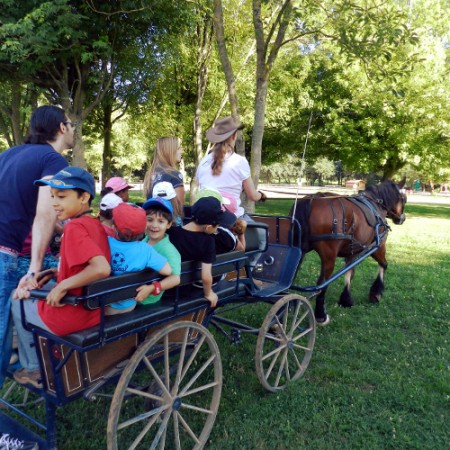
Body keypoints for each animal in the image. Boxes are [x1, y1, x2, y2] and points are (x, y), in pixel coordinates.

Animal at [290, 181, 406, 326]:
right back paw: (320, 315)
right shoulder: (378, 246)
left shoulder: (352, 251)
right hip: (329, 257)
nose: (402, 218)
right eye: (403, 198)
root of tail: (311, 200)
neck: (376, 204)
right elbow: (383, 265)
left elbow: (349, 273)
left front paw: (346, 299)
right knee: (322, 284)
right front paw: (376, 294)